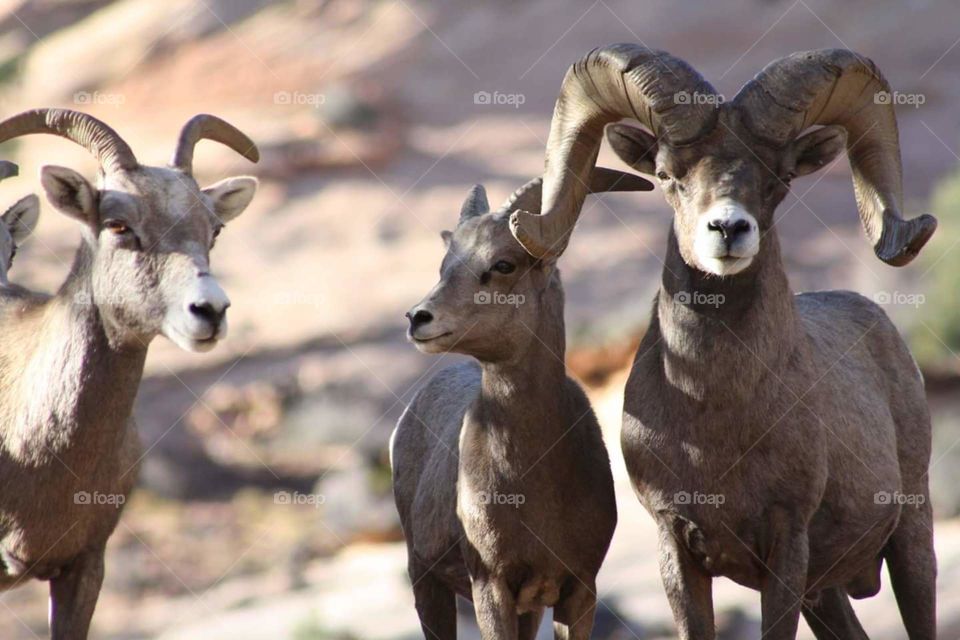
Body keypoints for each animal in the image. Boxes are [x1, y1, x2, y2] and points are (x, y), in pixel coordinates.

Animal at [391, 167, 651, 639]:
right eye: (445, 266)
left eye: (503, 265)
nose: (418, 319)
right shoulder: (491, 589)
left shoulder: (578, 590)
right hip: (425, 582)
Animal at [506, 44, 937, 639]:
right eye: (667, 174)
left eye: (781, 176)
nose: (728, 230)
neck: (714, 418)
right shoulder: (677, 548)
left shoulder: (787, 546)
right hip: (827, 594)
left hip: (911, 539)